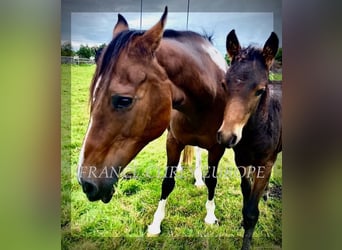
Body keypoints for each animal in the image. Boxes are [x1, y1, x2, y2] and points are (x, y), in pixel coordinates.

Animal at [77, 6, 227, 234]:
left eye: (124, 100)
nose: (85, 184)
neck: (208, 96)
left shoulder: (218, 148)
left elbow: (212, 181)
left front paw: (210, 216)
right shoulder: (172, 141)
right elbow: (167, 182)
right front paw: (156, 224)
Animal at [218, 29, 282, 250]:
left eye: (260, 90)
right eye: (224, 85)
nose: (227, 136)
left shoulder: (266, 162)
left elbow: (252, 212)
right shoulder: (242, 161)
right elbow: (247, 194)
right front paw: (243, 224)